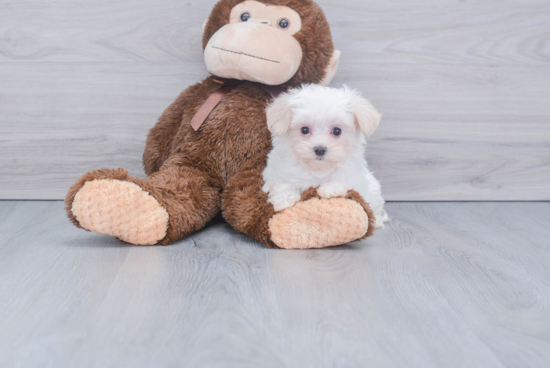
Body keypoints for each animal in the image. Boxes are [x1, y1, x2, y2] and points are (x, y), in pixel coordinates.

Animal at [262, 84, 388, 227]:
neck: (318, 168)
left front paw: (330, 189)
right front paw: (284, 199)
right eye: (304, 130)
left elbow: (343, 180)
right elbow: (282, 183)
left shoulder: (354, 176)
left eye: (337, 131)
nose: (320, 149)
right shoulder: (279, 169)